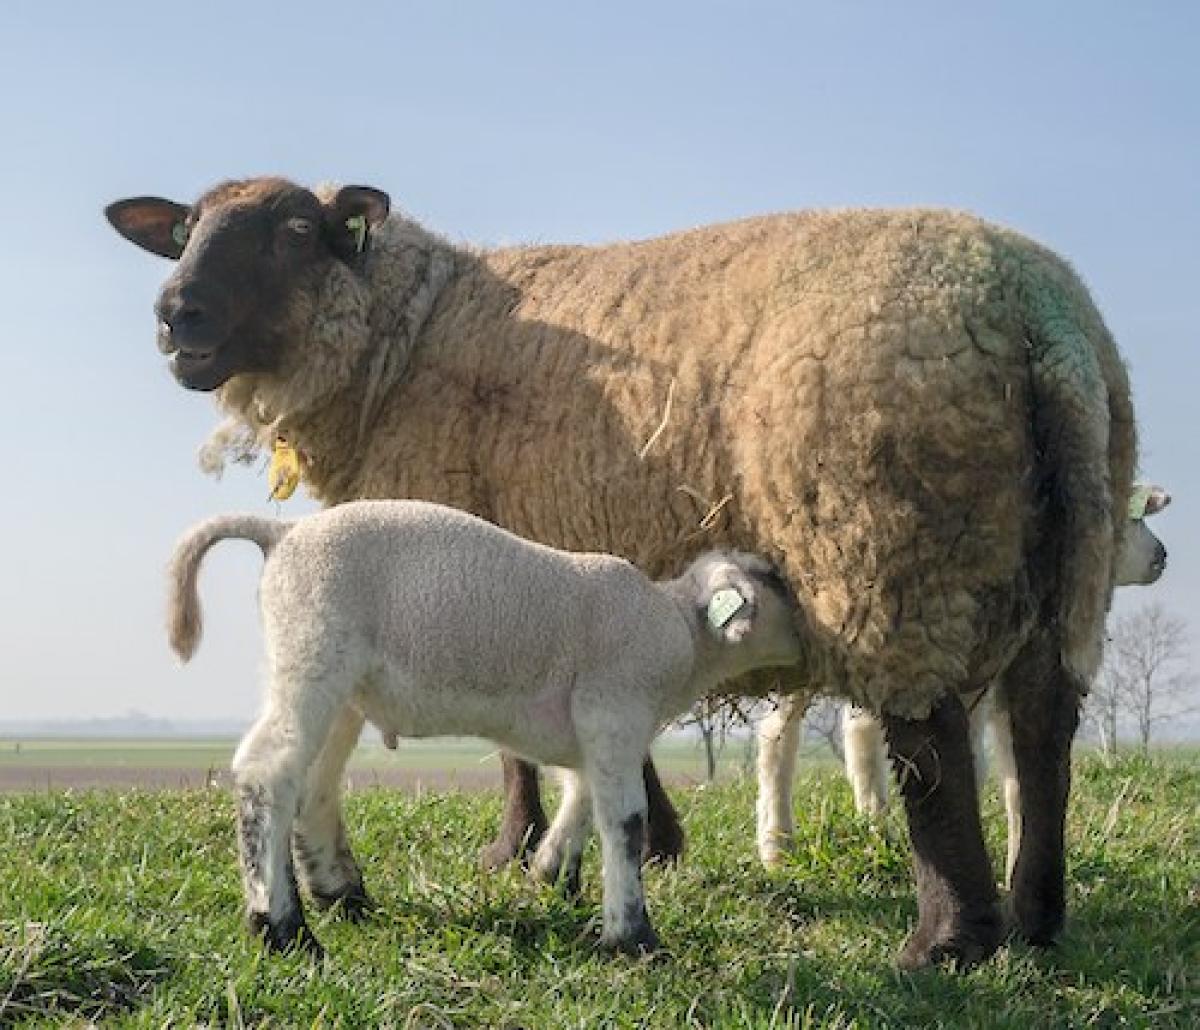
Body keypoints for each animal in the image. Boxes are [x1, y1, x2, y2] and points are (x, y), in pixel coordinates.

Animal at [169, 496, 801, 955]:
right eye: (775, 578)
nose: (812, 639)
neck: (681, 632)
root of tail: (282, 533)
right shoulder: (614, 710)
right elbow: (624, 822)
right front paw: (632, 939)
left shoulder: (587, 733)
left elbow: (580, 798)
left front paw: (551, 878)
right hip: (311, 652)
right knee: (267, 771)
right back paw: (282, 931)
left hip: (340, 684)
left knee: (314, 785)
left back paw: (342, 897)